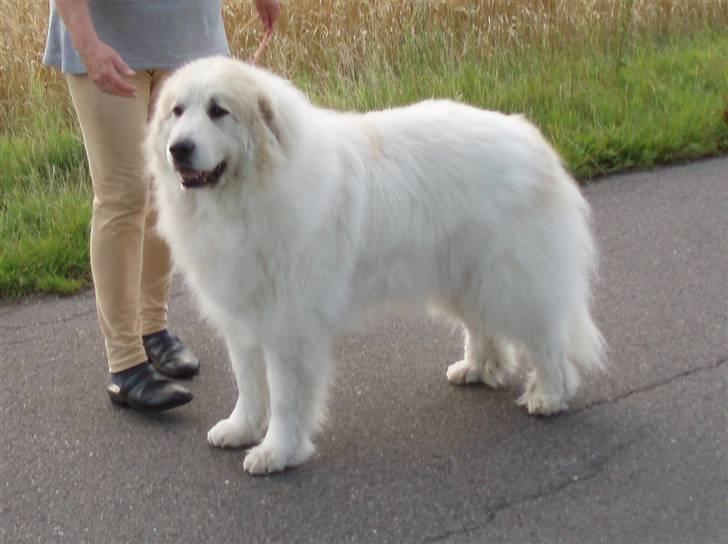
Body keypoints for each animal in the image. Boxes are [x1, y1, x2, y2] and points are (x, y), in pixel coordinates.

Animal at [145, 55, 604, 472]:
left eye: (218, 111)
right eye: (177, 111)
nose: (179, 148)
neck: (247, 196)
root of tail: (530, 137)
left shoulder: (288, 328)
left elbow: (286, 397)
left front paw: (277, 451)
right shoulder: (242, 317)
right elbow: (249, 385)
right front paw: (241, 429)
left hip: (507, 280)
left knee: (545, 337)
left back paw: (549, 395)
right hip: (462, 275)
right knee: (483, 327)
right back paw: (476, 368)